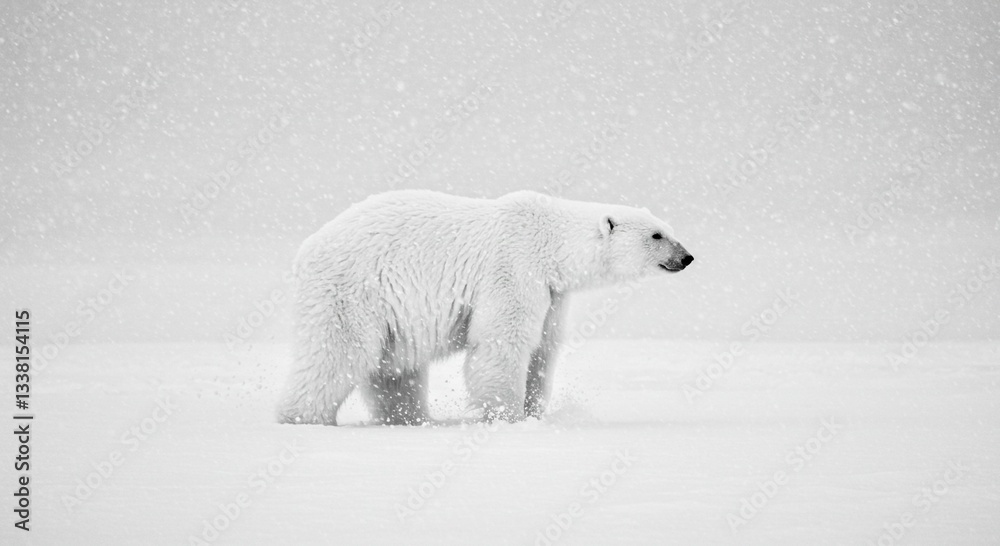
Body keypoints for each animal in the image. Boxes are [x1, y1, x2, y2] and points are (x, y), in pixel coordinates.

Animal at [276, 190, 693, 426]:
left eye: (668, 229)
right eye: (657, 235)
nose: (687, 257)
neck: (549, 241)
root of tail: (304, 251)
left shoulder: (552, 293)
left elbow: (543, 349)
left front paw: (535, 412)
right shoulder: (514, 269)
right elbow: (502, 342)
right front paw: (507, 417)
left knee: (395, 371)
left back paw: (410, 418)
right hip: (353, 289)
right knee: (338, 354)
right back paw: (303, 417)